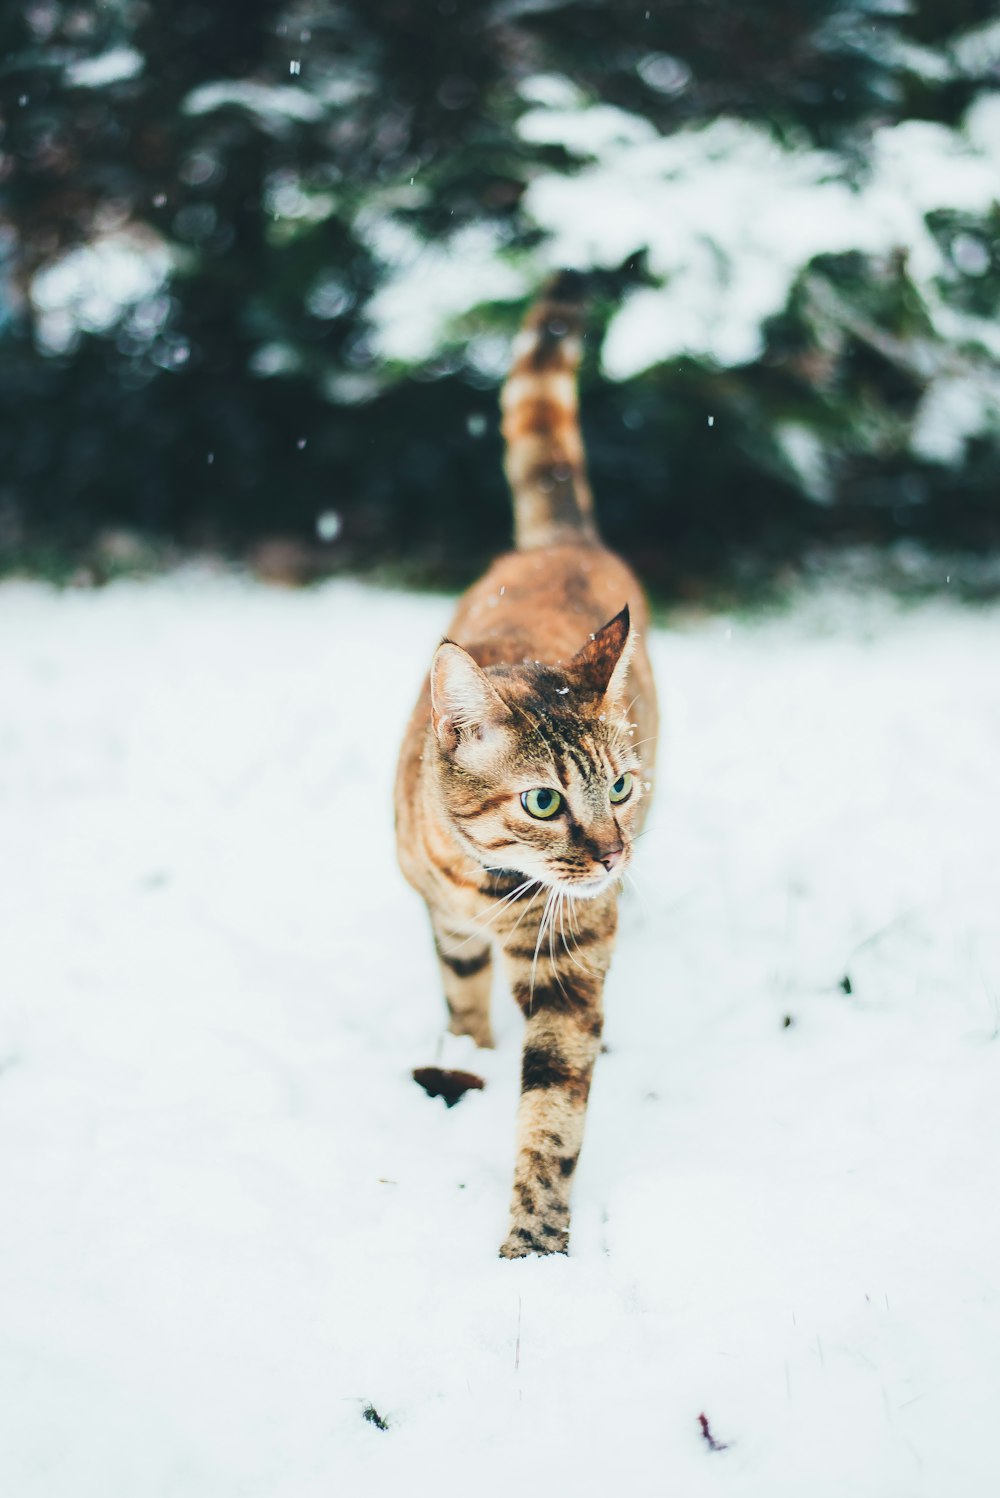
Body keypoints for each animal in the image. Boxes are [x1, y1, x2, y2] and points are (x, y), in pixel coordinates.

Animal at [395, 275, 658, 1258]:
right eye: (543, 801)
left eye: (618, 785)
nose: (614, 852)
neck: (482, 880)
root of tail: (561, 541)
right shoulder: (446, 917)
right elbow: (461, 994)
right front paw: (465, 1054)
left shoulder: (569, 964)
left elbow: (551, 1113)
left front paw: (534, 1253)